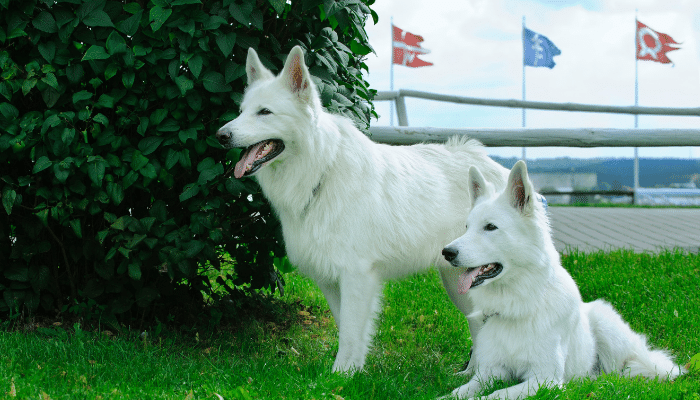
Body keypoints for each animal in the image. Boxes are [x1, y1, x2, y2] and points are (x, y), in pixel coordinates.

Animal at [216, 46, 506, 372]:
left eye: (264, 112)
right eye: (242, 111)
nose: (220, 135)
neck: (321, 171)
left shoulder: (356, 277)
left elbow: (352, 332)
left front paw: (340, 375)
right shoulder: (331, 280)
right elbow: (345, 327)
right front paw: (351, 372)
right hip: (459, 283)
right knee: (479, 325)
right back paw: (471, 373)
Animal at [442, 161, 684, 398]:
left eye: (490, 227)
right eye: (466, 227)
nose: (446, 252)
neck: (518, 304)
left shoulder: (544, 379)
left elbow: (497, 394)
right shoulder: (489, 373)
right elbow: (457, 393)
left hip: (608, 328)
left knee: (625, 368)